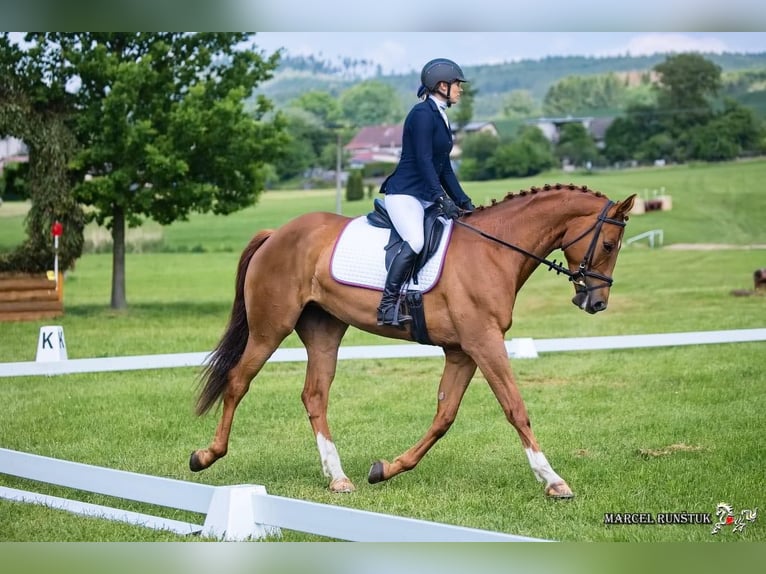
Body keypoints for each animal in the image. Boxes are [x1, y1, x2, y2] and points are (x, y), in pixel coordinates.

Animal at [190, 183, 636, 500]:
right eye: (609, 244)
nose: (596, 302)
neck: (493, 251)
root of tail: (276, 233)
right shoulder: (484, 342)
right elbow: (515, 408)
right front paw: (553, 480)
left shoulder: (462, 352)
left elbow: (444, 417)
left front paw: (386, 468)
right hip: (271, 328)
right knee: (237, 381)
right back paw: (206, 455)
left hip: (324, 331)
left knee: (314, 396)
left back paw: (338, 477)